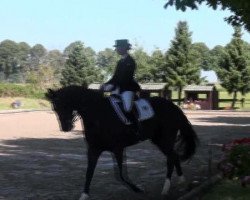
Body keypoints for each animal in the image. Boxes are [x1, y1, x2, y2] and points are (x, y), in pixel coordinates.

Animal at [46, 85, 198, 199]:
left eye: (64, 105)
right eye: (55, 108)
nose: (65, 128)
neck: (98, 114)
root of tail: (173, 106)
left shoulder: (117, 149)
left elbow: (120, 175)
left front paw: (138, 189)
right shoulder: (94, 149)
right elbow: (89, 172)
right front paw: (84, 196)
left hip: (165, 139)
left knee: (172, 157)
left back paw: (170, 187)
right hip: (159, 140)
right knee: (174, 156)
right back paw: (178, 183)